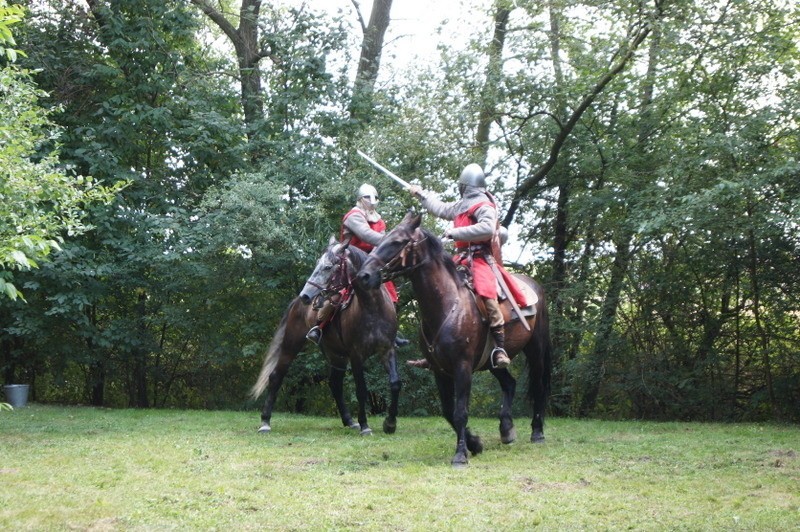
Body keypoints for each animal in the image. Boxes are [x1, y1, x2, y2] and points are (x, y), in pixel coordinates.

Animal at [250, 238, 400, 436]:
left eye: (328, 267)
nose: (306, 295)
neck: (372, 308)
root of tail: (296, 303)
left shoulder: (387, 350)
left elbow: (395, 382)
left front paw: (390, 423)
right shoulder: (356, 355)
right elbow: (361, 389)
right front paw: (365, 426)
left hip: (337, 355)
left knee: (335, 384)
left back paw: (349, 420)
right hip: (291, 346)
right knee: (276, 377)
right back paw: (265, 421)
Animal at [356, 212, 552, 466]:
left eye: (398, 241)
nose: (364, 276)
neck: (447, 306)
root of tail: (534, 285)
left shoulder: (462, 367)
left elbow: (460, 411)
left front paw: (460, 455)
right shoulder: (440, 370)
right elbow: (448, 411)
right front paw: (474, 444)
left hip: (535, 351)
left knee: (538, 386)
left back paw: (537, 432)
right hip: (492, 362)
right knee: (509, 383)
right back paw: (506, 428)